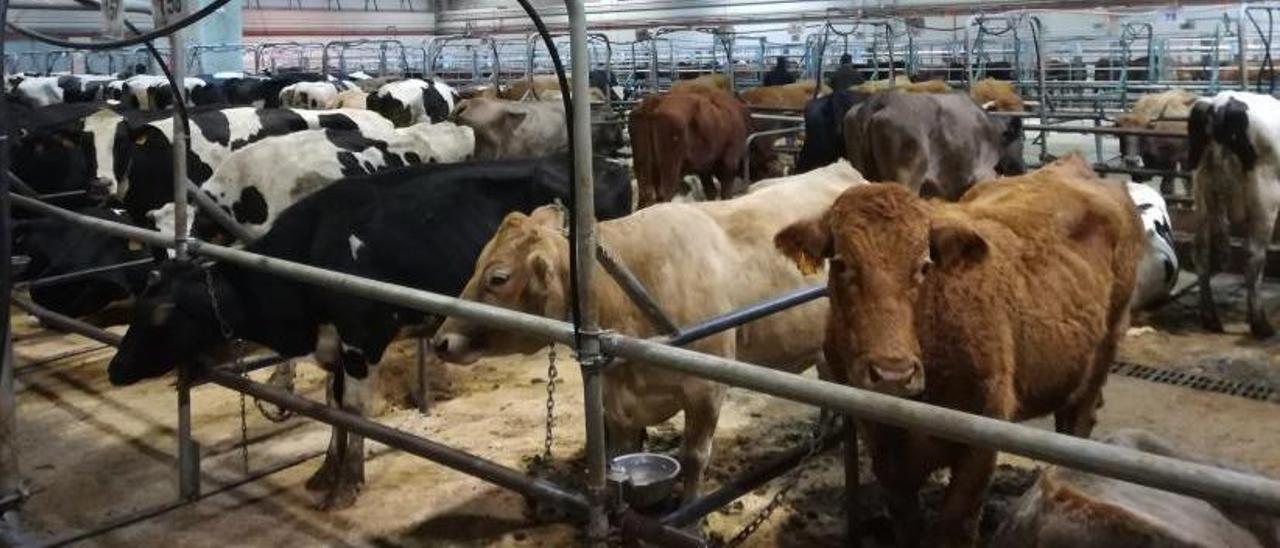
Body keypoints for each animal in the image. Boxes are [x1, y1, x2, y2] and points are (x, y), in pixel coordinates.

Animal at [108, 153, 634, 509]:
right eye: (141, 304)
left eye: (162, 315)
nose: (115, 369)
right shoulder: (333, 346)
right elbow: (333, 404)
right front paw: (327, 470)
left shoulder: (363, 337)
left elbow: (356, 410)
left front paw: (347, 483)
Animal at [432, 160, 870, 501]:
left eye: (498, 278)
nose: (441, 341)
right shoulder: (617, 402)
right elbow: (620, 457)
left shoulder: (707, 388)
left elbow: (694, 458)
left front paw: (690, 517)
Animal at [624, 88, 773, 208]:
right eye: (769, 168)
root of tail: (654, 101)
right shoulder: (729, 163)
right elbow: (725, 192)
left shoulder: (704, 169)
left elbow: (710, 191)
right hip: (670, 167)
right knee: (664, 193)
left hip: (643, 166)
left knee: (645, 195)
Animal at [768, 154, 1141, 548]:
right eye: (840, 264)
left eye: (924, 265)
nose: (892, 374)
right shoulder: (882, 443)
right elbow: (905, 520)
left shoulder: (983, 439)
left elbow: (955, 524)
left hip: (1106, 347)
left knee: (1079, 420)